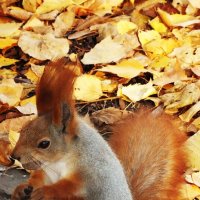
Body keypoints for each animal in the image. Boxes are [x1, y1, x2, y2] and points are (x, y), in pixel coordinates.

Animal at [10, 58, 187, 200]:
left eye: (44, 144)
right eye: (23, 129)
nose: (14, 156)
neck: (59, 163)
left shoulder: (91, 176)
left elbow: (66, 189)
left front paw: (45, 192)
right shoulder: (47, 172)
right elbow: (38, 178)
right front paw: (23, 188)